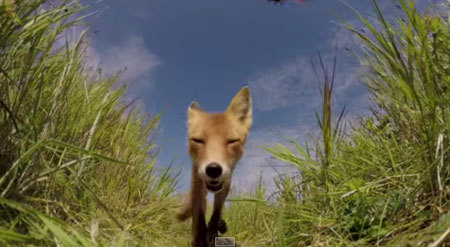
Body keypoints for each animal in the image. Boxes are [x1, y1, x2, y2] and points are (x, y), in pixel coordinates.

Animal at [177, 87, 253, 247]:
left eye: (232, 141)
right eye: (198, 140)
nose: (213, 169)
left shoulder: (226, 183)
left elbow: (216, 213)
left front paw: (212, 232)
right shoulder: (197, 181)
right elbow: (199, 217)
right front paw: (200, 240)